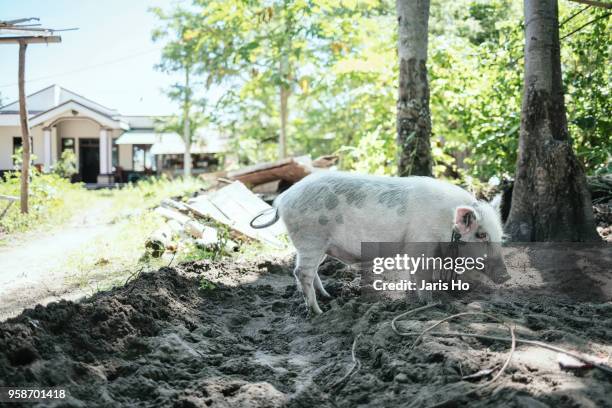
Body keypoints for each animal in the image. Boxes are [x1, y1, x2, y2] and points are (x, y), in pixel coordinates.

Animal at [251, 172, 504, 316]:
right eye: (481, 234)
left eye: (500, 235)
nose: (506, 276)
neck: (445, 222)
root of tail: (282, 199)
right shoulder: (418, 244)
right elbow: (421, 274)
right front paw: (430, 304)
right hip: (311, 237)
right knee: (300, 272)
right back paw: (318, 312)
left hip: (316, 244)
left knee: (308, 272)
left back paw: (328, 297)